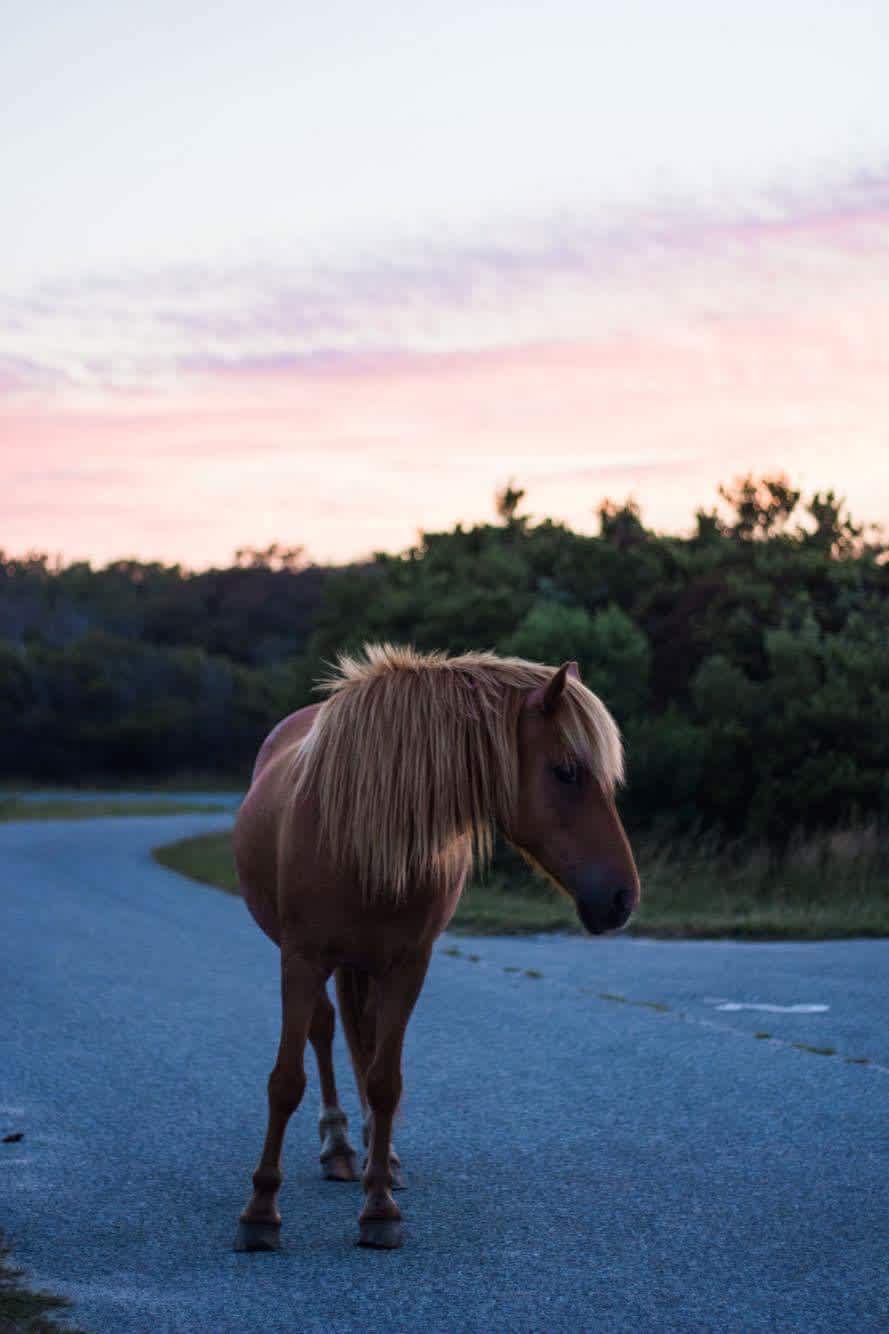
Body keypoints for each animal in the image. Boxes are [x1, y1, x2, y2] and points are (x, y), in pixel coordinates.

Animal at [229, 645, 638, 1248]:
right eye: (566, 771)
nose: (622, 897)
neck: (363, 830)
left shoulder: (408, 965)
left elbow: (385, 1081)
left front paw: (379, 1207)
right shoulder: (300, 959)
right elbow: (285, 1081)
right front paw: (260, 1211)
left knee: (364, 1041)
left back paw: (378, 1155)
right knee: (324, 1032)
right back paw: (338, 1145)